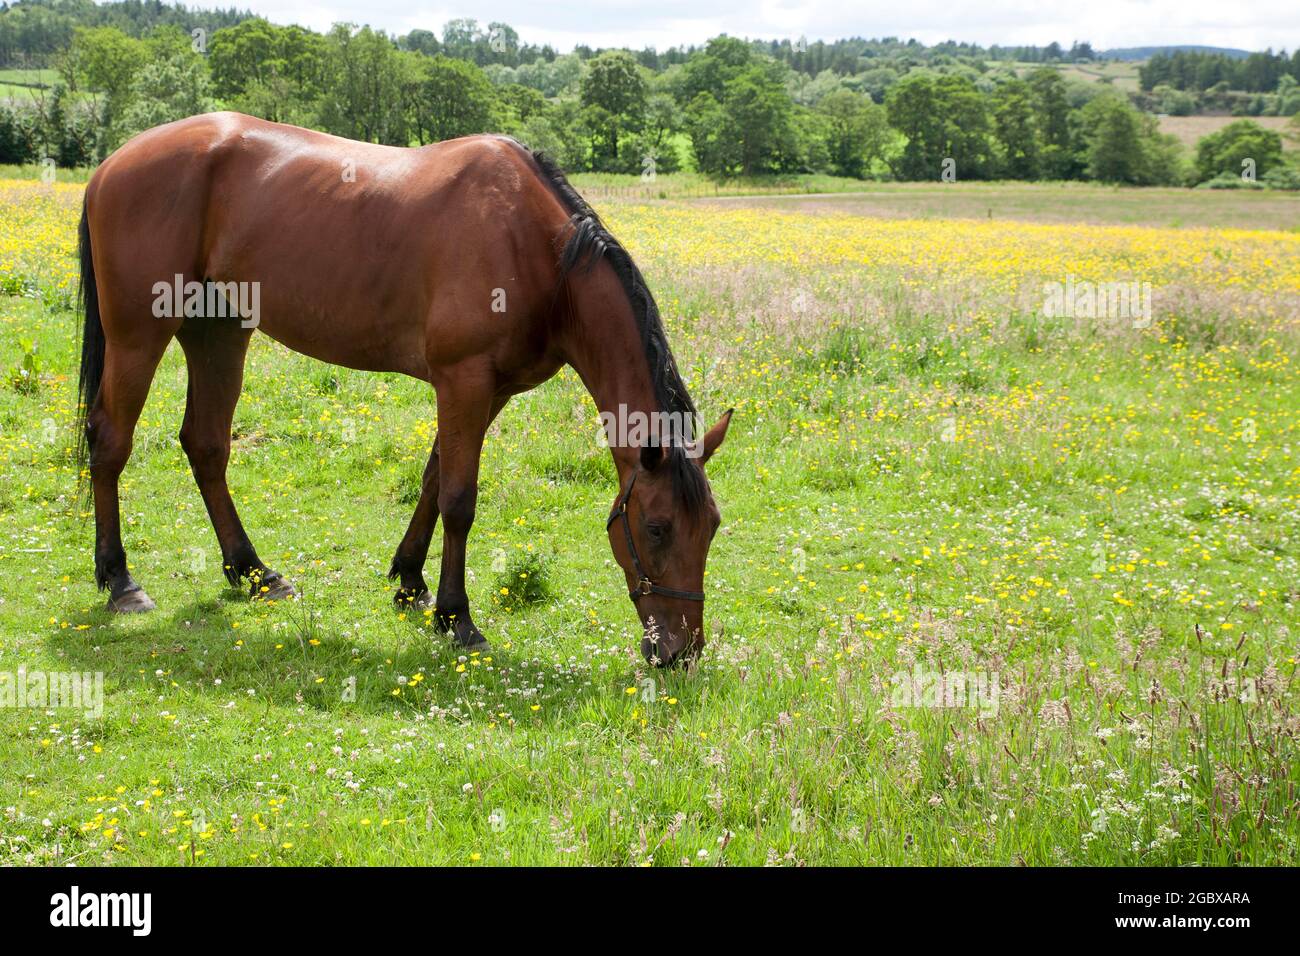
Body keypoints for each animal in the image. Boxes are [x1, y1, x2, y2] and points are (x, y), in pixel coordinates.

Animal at [76, 110, 733, 665]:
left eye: (713, 525)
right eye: (656, 528)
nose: (682, 651)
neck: (538, 250)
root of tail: (111, 165)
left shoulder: (486, 391)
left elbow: (434, 481)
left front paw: (412, 584)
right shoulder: (463, 380)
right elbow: (460, 500)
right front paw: (458, 618)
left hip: (218, 332)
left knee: (207, 445)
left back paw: (253, 572)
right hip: (139, 336)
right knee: (110, 442)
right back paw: (121, 580)